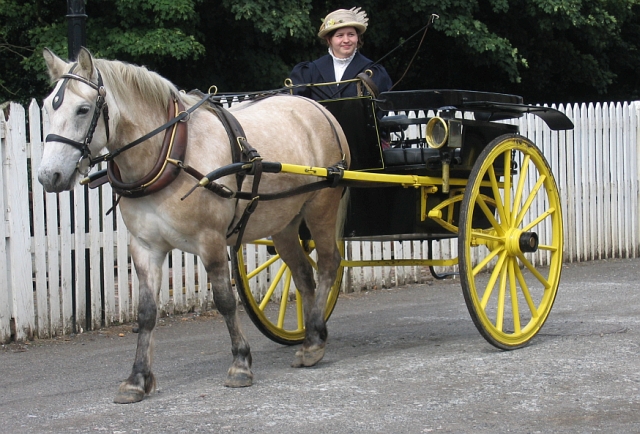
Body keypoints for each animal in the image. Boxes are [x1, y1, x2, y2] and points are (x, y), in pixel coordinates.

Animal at [37, 47, 350, 404]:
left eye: (83, 109)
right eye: (46, 107)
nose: (48, 176)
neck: (170, 154)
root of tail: (317, 108)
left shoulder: (210, 241)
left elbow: (225, 301)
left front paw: (240, 363)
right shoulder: (145, 247)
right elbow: (146, 313)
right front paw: (137, 378)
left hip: (321, 207)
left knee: (329, 264)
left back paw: (313, 342)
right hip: (284, 222)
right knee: (302, 275)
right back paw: (312, 336)